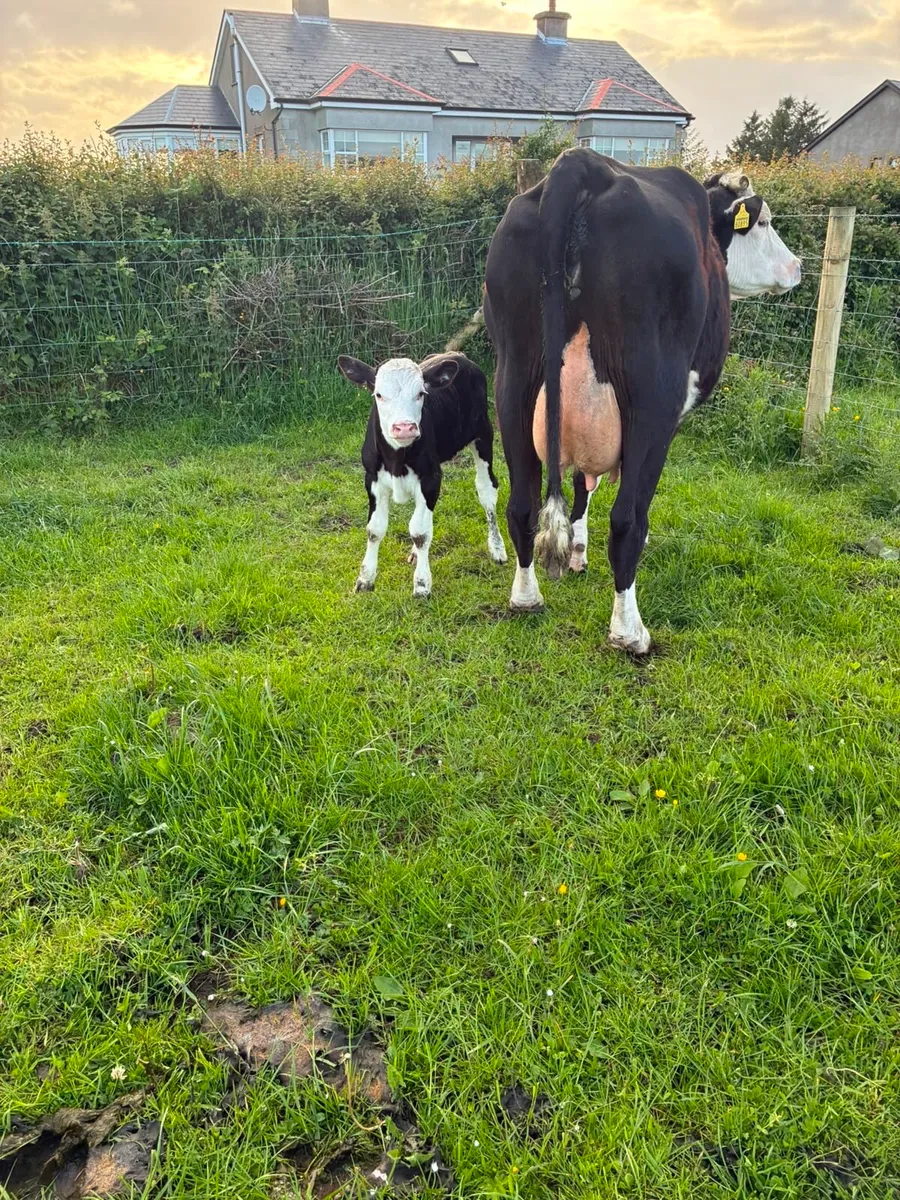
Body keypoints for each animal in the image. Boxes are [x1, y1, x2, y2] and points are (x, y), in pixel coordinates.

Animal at [338, 351, 507, 597]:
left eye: (421, 394)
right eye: (378, 394)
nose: (404, 427)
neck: (396, 460)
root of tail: (457, 355)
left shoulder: (430, 478)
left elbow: (420, 532)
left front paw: (421, 584)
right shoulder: (372, 479)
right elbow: (375, 529)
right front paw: (365, 579)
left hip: (484, 434)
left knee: (486, 490)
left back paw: (497, 547)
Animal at [483, 151, 802, 652]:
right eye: (765, 222)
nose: (798, 266)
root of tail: (579, 163)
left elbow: (582, 484)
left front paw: (577, 551)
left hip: (513, 378)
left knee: (523, 506)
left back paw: (526, 596)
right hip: (652, 395)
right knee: (627, 519)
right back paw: (630, 631)